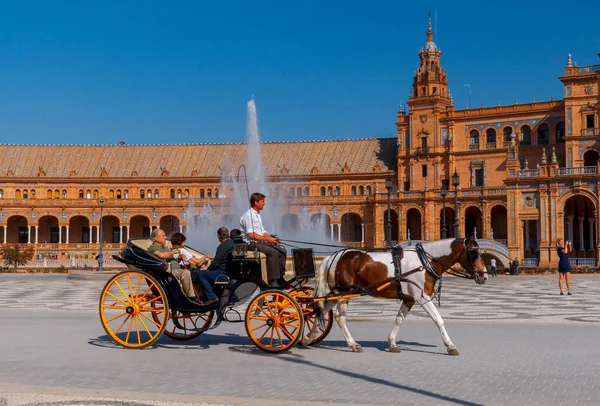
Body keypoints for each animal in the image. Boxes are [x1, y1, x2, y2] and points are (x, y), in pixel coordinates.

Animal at [304, 236, 488, 354]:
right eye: (474, 253)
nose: (484, 276)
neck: (425, 261)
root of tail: (331, 256)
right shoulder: (422, 298)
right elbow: (438, 319)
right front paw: (450, 345)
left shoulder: (409, 299)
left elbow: (399, 319)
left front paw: (392, 343)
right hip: (344, 293)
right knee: (339, 317)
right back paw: (352, 344)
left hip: (336, 294)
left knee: (318, 310)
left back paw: (307, 338)